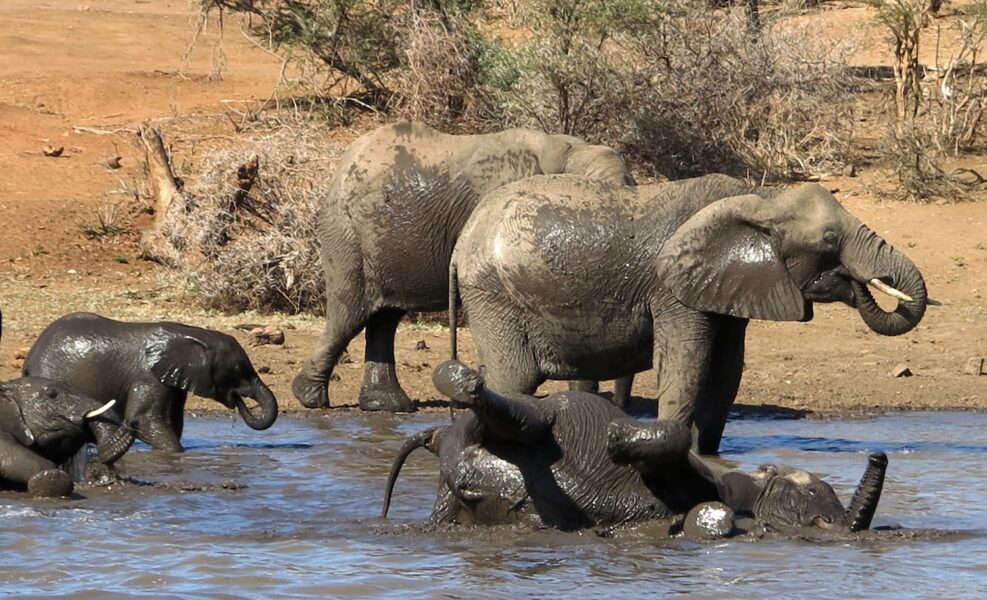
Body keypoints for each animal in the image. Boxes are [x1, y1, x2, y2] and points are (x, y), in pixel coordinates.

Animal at [23, 314, 278, 454]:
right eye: (236, 371)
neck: (190, 334)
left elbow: (174, 422)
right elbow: (144, 421)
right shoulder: (148, 376)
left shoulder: (172, 380)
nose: (238, 400)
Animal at [290, 122, 636, 412]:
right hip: (347, 233)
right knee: (350, 312)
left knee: (385, 317)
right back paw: (310, 398)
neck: (564, 150)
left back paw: (388, 407)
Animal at [384, 360, 888, 540]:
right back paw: (460, 380)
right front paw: (618, 440)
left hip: (450, 498)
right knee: (532, 418)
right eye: (811, 491)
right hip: (550, 411)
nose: (878, 455)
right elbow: (679, 443)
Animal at [452, 173, 932, 454]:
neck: (762, 197)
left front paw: (705, 460)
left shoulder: (729, 287)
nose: (859, 280)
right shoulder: (672, 292)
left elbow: (725, 372)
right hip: (494, 294)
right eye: (830, 240)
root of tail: (461, 243)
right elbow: (686, 365)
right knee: (512, 378)